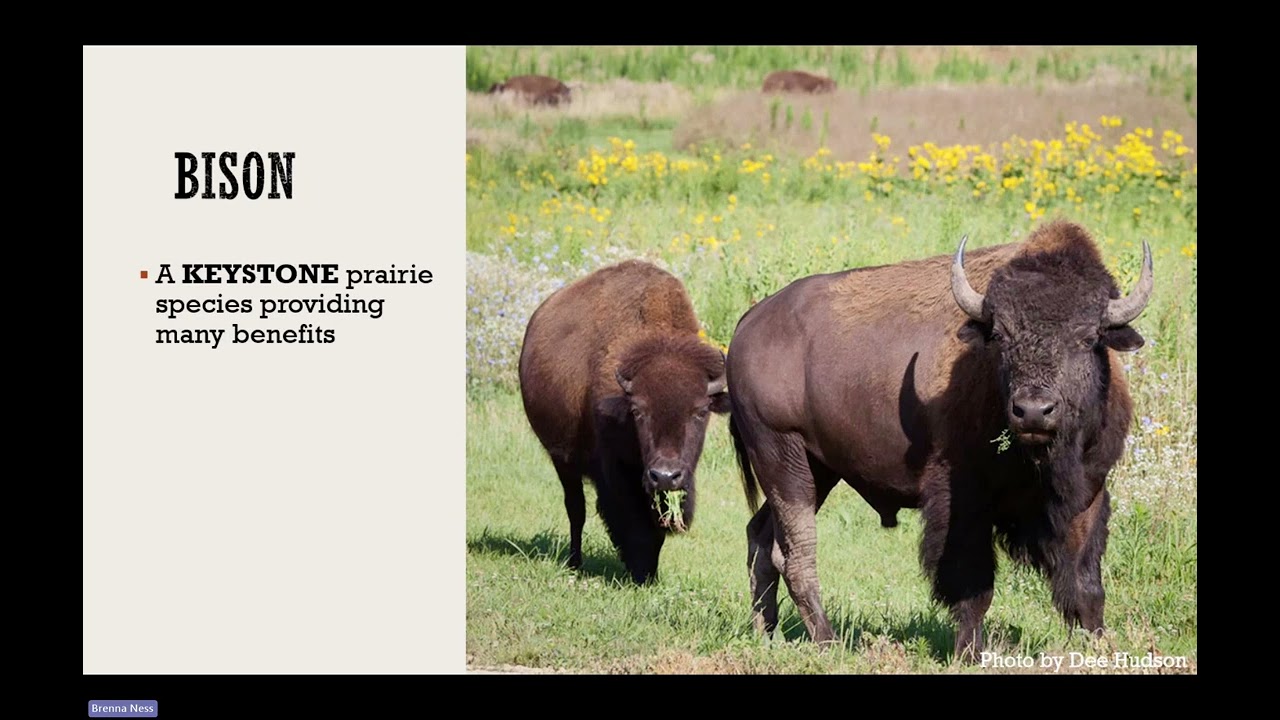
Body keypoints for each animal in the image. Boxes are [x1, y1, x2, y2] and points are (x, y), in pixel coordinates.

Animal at [519, 260, 730, 584]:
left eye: (700, 411)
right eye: (638, 411)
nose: (665, 475)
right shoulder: (615, 471)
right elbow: (631, 520)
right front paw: (640, 572)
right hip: (562, 460)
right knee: (575, 509)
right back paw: (574, 562)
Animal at [726, 220, 1153, 660]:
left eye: (1088, 337)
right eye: (1000, 335)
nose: (1033, 410)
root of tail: (748, 323)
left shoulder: (1088, 494)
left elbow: (1086, 585)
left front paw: (1101, 648)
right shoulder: (962, 500)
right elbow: (973, 586)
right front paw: (968, 653)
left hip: (817, 470)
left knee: (762, 539)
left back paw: (767, 634)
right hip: (783, 459)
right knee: (796, 553)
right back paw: (828, 642)